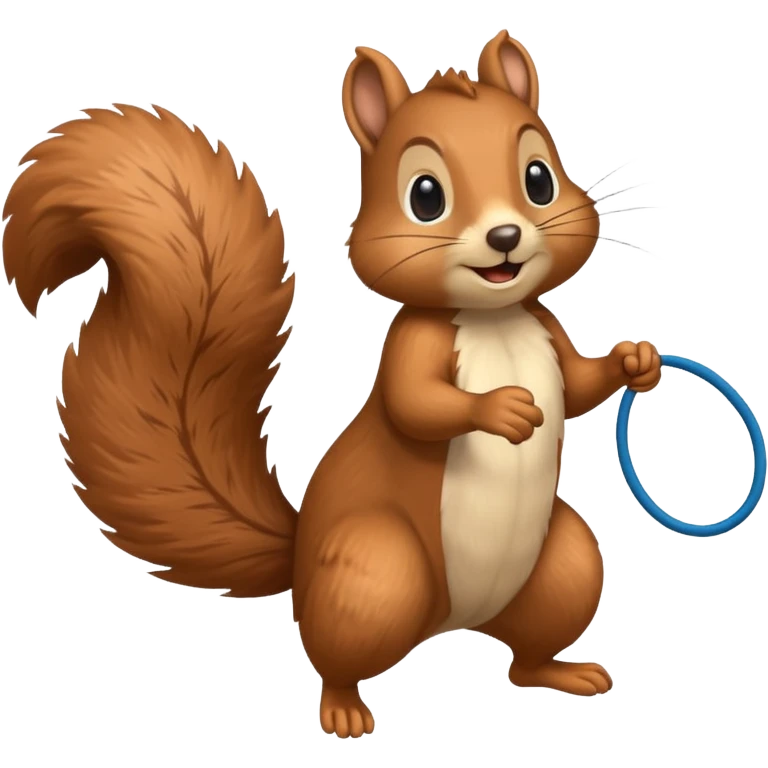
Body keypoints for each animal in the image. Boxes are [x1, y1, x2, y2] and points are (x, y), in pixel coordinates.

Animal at [1, 30, 663, 738]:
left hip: (562, 568)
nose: (506, 235)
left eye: (540, 178)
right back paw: (344, 710)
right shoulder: (412, 346)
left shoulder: (545, 326)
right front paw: (502, 410)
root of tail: (454, 623)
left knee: (526, 653)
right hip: (376, 571)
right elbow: (416, 405)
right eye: (425, 196)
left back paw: (565, 673)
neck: (495, 317)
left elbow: (579, 384)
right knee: (338, 657)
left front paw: (634, 362)